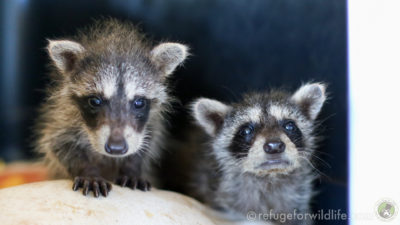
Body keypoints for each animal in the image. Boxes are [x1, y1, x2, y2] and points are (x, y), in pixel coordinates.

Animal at [34, 18, 189, 197]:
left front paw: (132, 168)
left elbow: (147, 142)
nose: (116, 148)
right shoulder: (63, 116)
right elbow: (59, 144)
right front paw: (88, 171)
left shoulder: (152, 120)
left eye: (139, 103)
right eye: (95, 101)